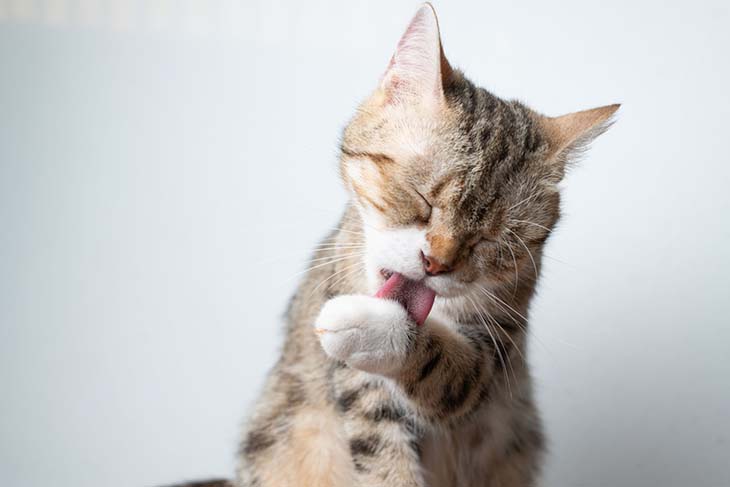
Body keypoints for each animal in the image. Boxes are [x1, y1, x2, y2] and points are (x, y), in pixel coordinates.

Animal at [173, 3, 616, 487]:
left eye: (490, 238)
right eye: (421, 199)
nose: (436, 262)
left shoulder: (496, 348)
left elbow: (449, 371)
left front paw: (368, 327)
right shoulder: (359, 390)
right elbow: (382, 456)